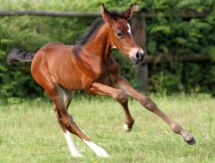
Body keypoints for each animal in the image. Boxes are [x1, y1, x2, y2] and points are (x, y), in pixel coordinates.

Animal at [6, 3, 196, 157]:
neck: (98, 57)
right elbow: (121, 96)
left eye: (131, 31)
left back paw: (76, 153)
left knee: (61, 116)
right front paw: (127, 125)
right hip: (52, 89)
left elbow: (147, 101)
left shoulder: (117, 79)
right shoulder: (91, 86)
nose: (139, 55)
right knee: (66, 119)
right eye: (119, 33)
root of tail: (36, 55)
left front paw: (187, 136)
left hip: (67, 91)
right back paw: (100, 151)